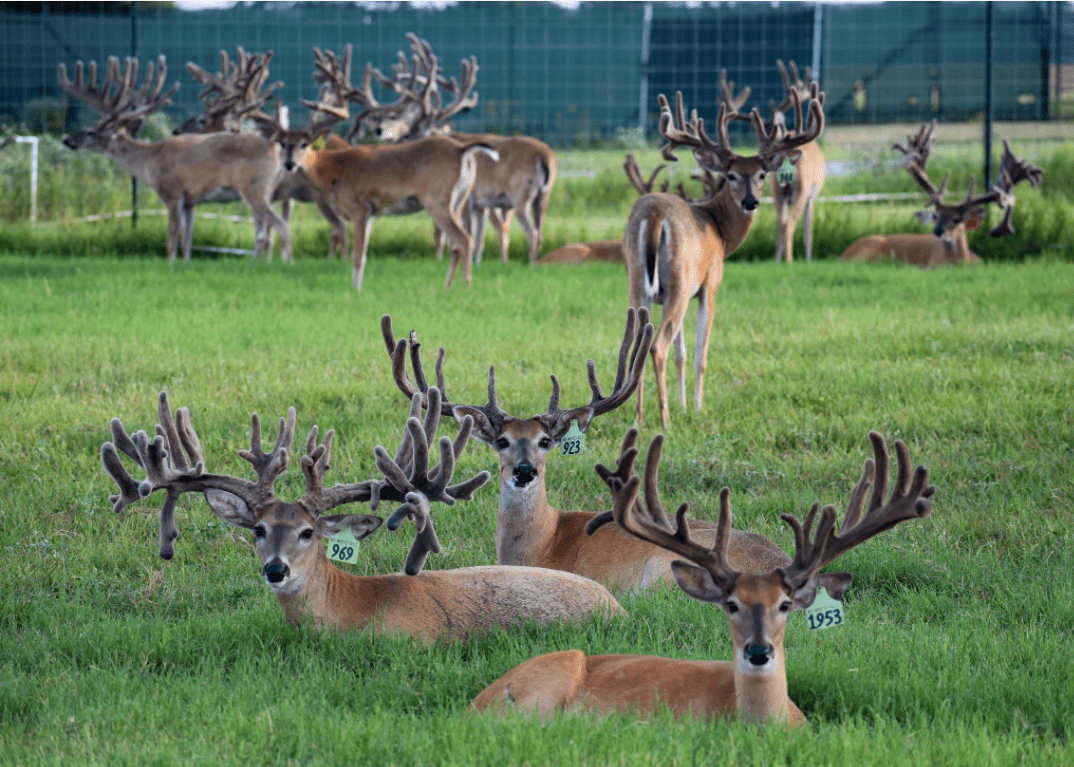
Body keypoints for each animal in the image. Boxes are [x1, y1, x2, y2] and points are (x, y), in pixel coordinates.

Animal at [58, 55, 293, 263]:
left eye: (90, 131)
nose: (67, 139)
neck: (150, 162)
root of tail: (273, 147)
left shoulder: (172, 193)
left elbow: (171, 241)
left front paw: (170, 266)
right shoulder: (190, 201)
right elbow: (186, 241)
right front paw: (185, 265)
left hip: (255, 189)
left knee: (280, 226)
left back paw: (287, 264)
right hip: (264, 192)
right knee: (264, 233)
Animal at [625, 85, 825, 428]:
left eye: (761, 174)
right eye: (731, 175)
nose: (750, 202)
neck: (719, 230)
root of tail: (653, 216)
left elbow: (682, 354)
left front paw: (684, 406)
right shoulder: (709, 285)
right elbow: (699, 355)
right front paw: (697, 407)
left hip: (638, 283)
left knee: (640, 343)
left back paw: (638, 416)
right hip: (679, 283)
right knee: (658, 346)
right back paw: (664, 420)